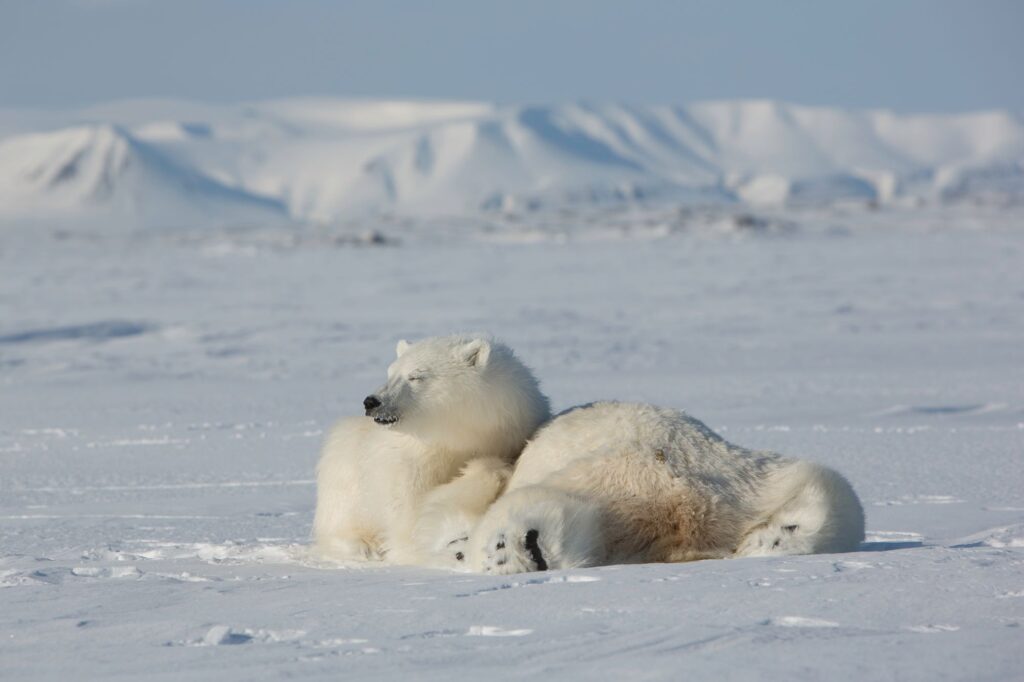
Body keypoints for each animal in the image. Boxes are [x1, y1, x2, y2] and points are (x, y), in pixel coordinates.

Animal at [312, 335, 551, 566]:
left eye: (416, 376)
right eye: (391, 373)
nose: (372, 401)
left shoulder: (509, 433)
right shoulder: (413, 461)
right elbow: (409, 511)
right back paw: (363, 546)